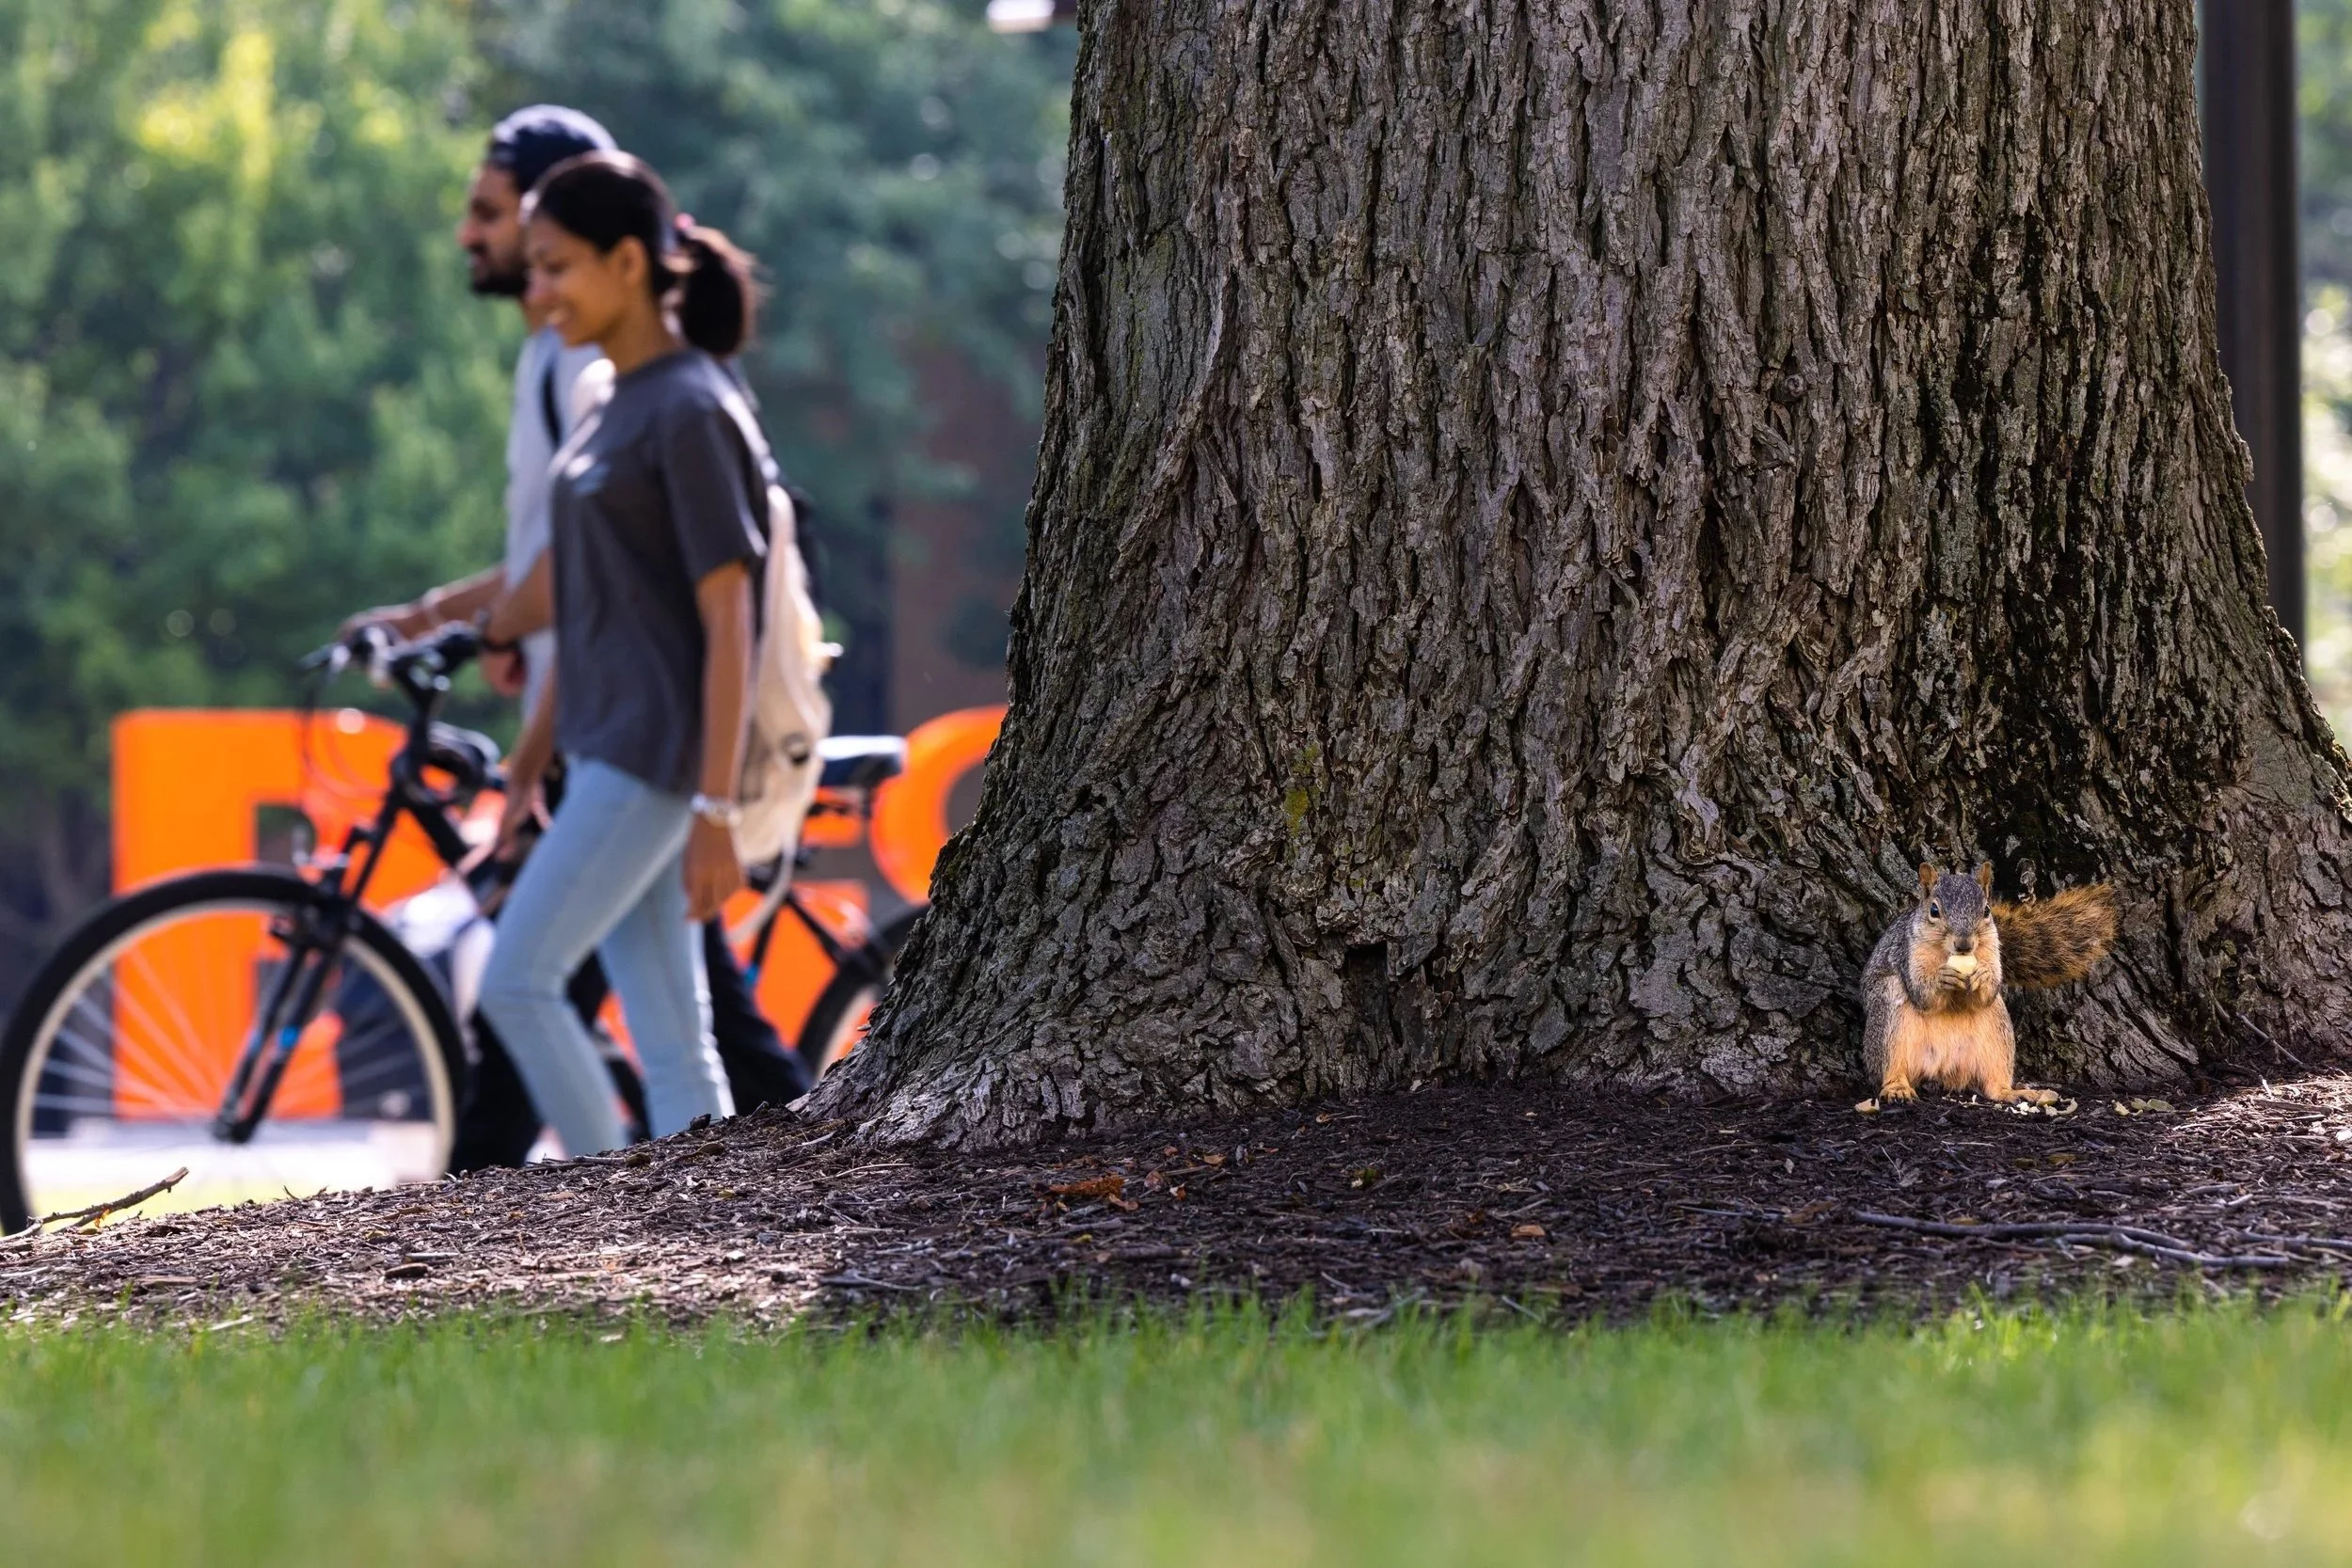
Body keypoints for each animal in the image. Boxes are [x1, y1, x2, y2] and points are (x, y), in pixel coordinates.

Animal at [1859, 864, 2117, 1108]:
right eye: (1934, 910)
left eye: (1986, 910)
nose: (1964, 944)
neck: (1947, 953)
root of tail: (1942, 1070)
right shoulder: (1908, 952)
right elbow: (1922, 995)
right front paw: (1942, 979)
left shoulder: (1992, 947)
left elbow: (1987, 991)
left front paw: (1983, 976)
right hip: (1888, 1017)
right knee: (1890, 1065)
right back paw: (1897, 1088)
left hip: (1997, 1029)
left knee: (1993, 1081)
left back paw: (2009, 1092)